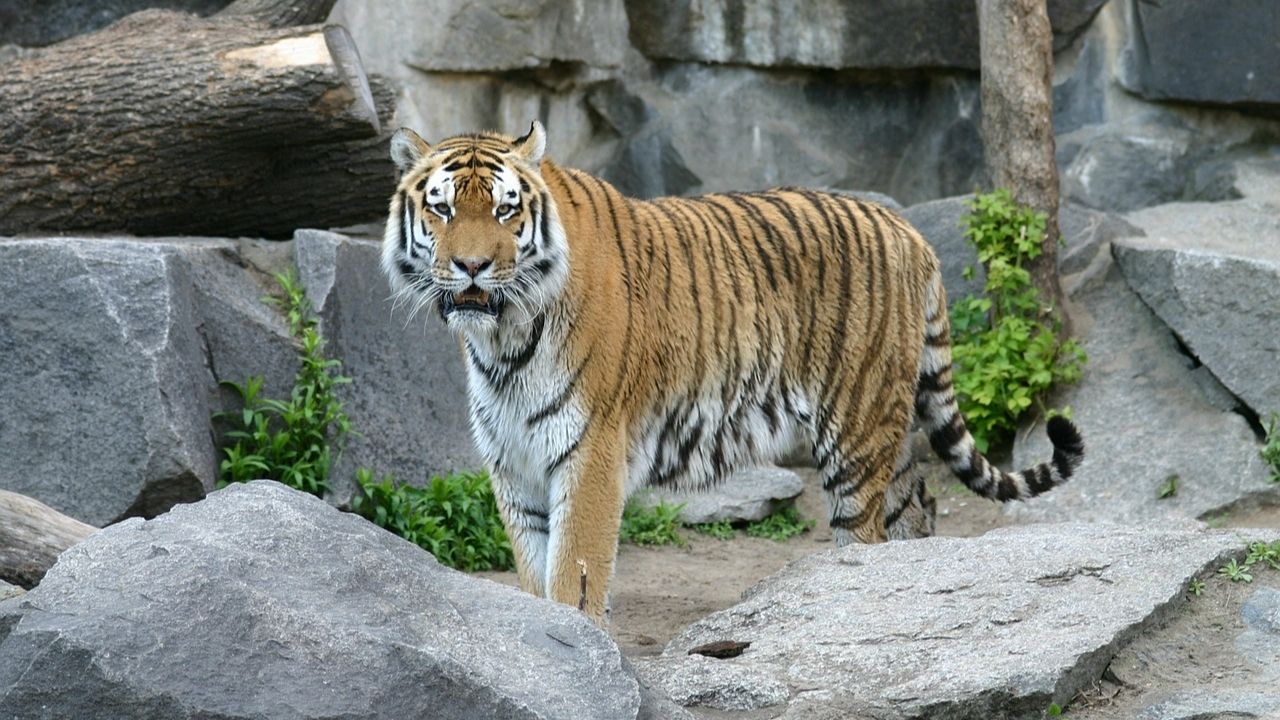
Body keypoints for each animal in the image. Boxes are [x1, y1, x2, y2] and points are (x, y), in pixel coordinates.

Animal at [381, 121, 1084, 624]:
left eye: (505, 211)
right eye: (443, 210)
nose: (472, 267)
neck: (503, 339)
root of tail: (907, 227)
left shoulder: (589, 452)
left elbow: (574, 574)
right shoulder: (513, 460)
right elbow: (533, 574)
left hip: (855, 431)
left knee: (864, 534)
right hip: (891, 423)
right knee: (919, 505)